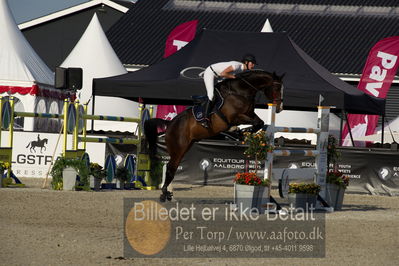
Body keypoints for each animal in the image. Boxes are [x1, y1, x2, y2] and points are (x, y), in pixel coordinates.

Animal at [144, 70, 284, 202]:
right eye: (277, 88)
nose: (279, 108)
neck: (240, 92)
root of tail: (170, 123)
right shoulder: (235, 117)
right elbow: (254, 123)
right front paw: (242, 131)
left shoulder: (250, 114)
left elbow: (259, 122)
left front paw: (244, 132)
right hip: (178, 149)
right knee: (170, 168)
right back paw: (164, 194)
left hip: (186, 146)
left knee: (172, 168)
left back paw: (167, 194)